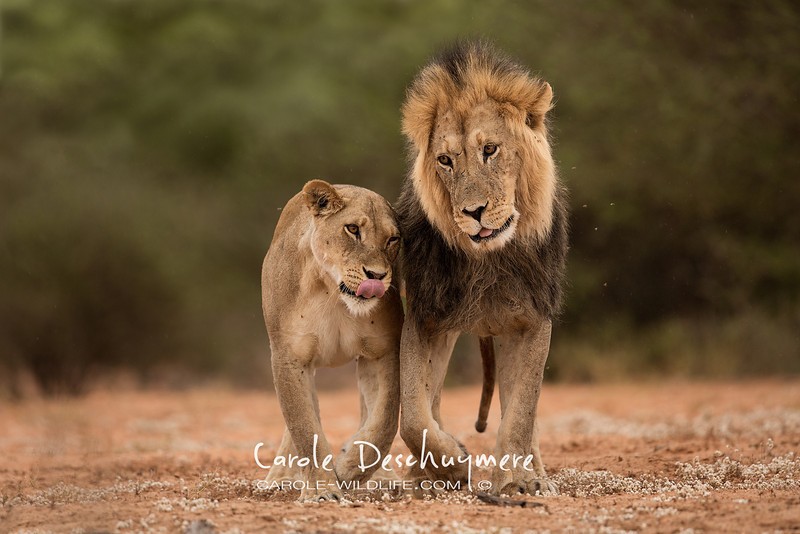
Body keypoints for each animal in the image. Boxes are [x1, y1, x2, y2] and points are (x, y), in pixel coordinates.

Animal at [262, 180, 404, 502]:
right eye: (352, 229)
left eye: (393, 239)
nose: (376, 275)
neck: (332, 293)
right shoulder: (289, 356)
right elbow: (304, 428)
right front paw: (322, 490)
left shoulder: (383, 351)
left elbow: (384, 421)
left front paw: (349, 467)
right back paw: (280, 477)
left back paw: (382, 477)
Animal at [396, 42, 568, 498]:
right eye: (445, 160)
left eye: (490, 149)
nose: (473, 212)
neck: (490, 258)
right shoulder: (425, 317)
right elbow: (414, 416)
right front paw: (452, 463)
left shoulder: (532, 318)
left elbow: (521, 413)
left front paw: (515, 483)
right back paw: (422, 478)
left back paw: (533, 473)